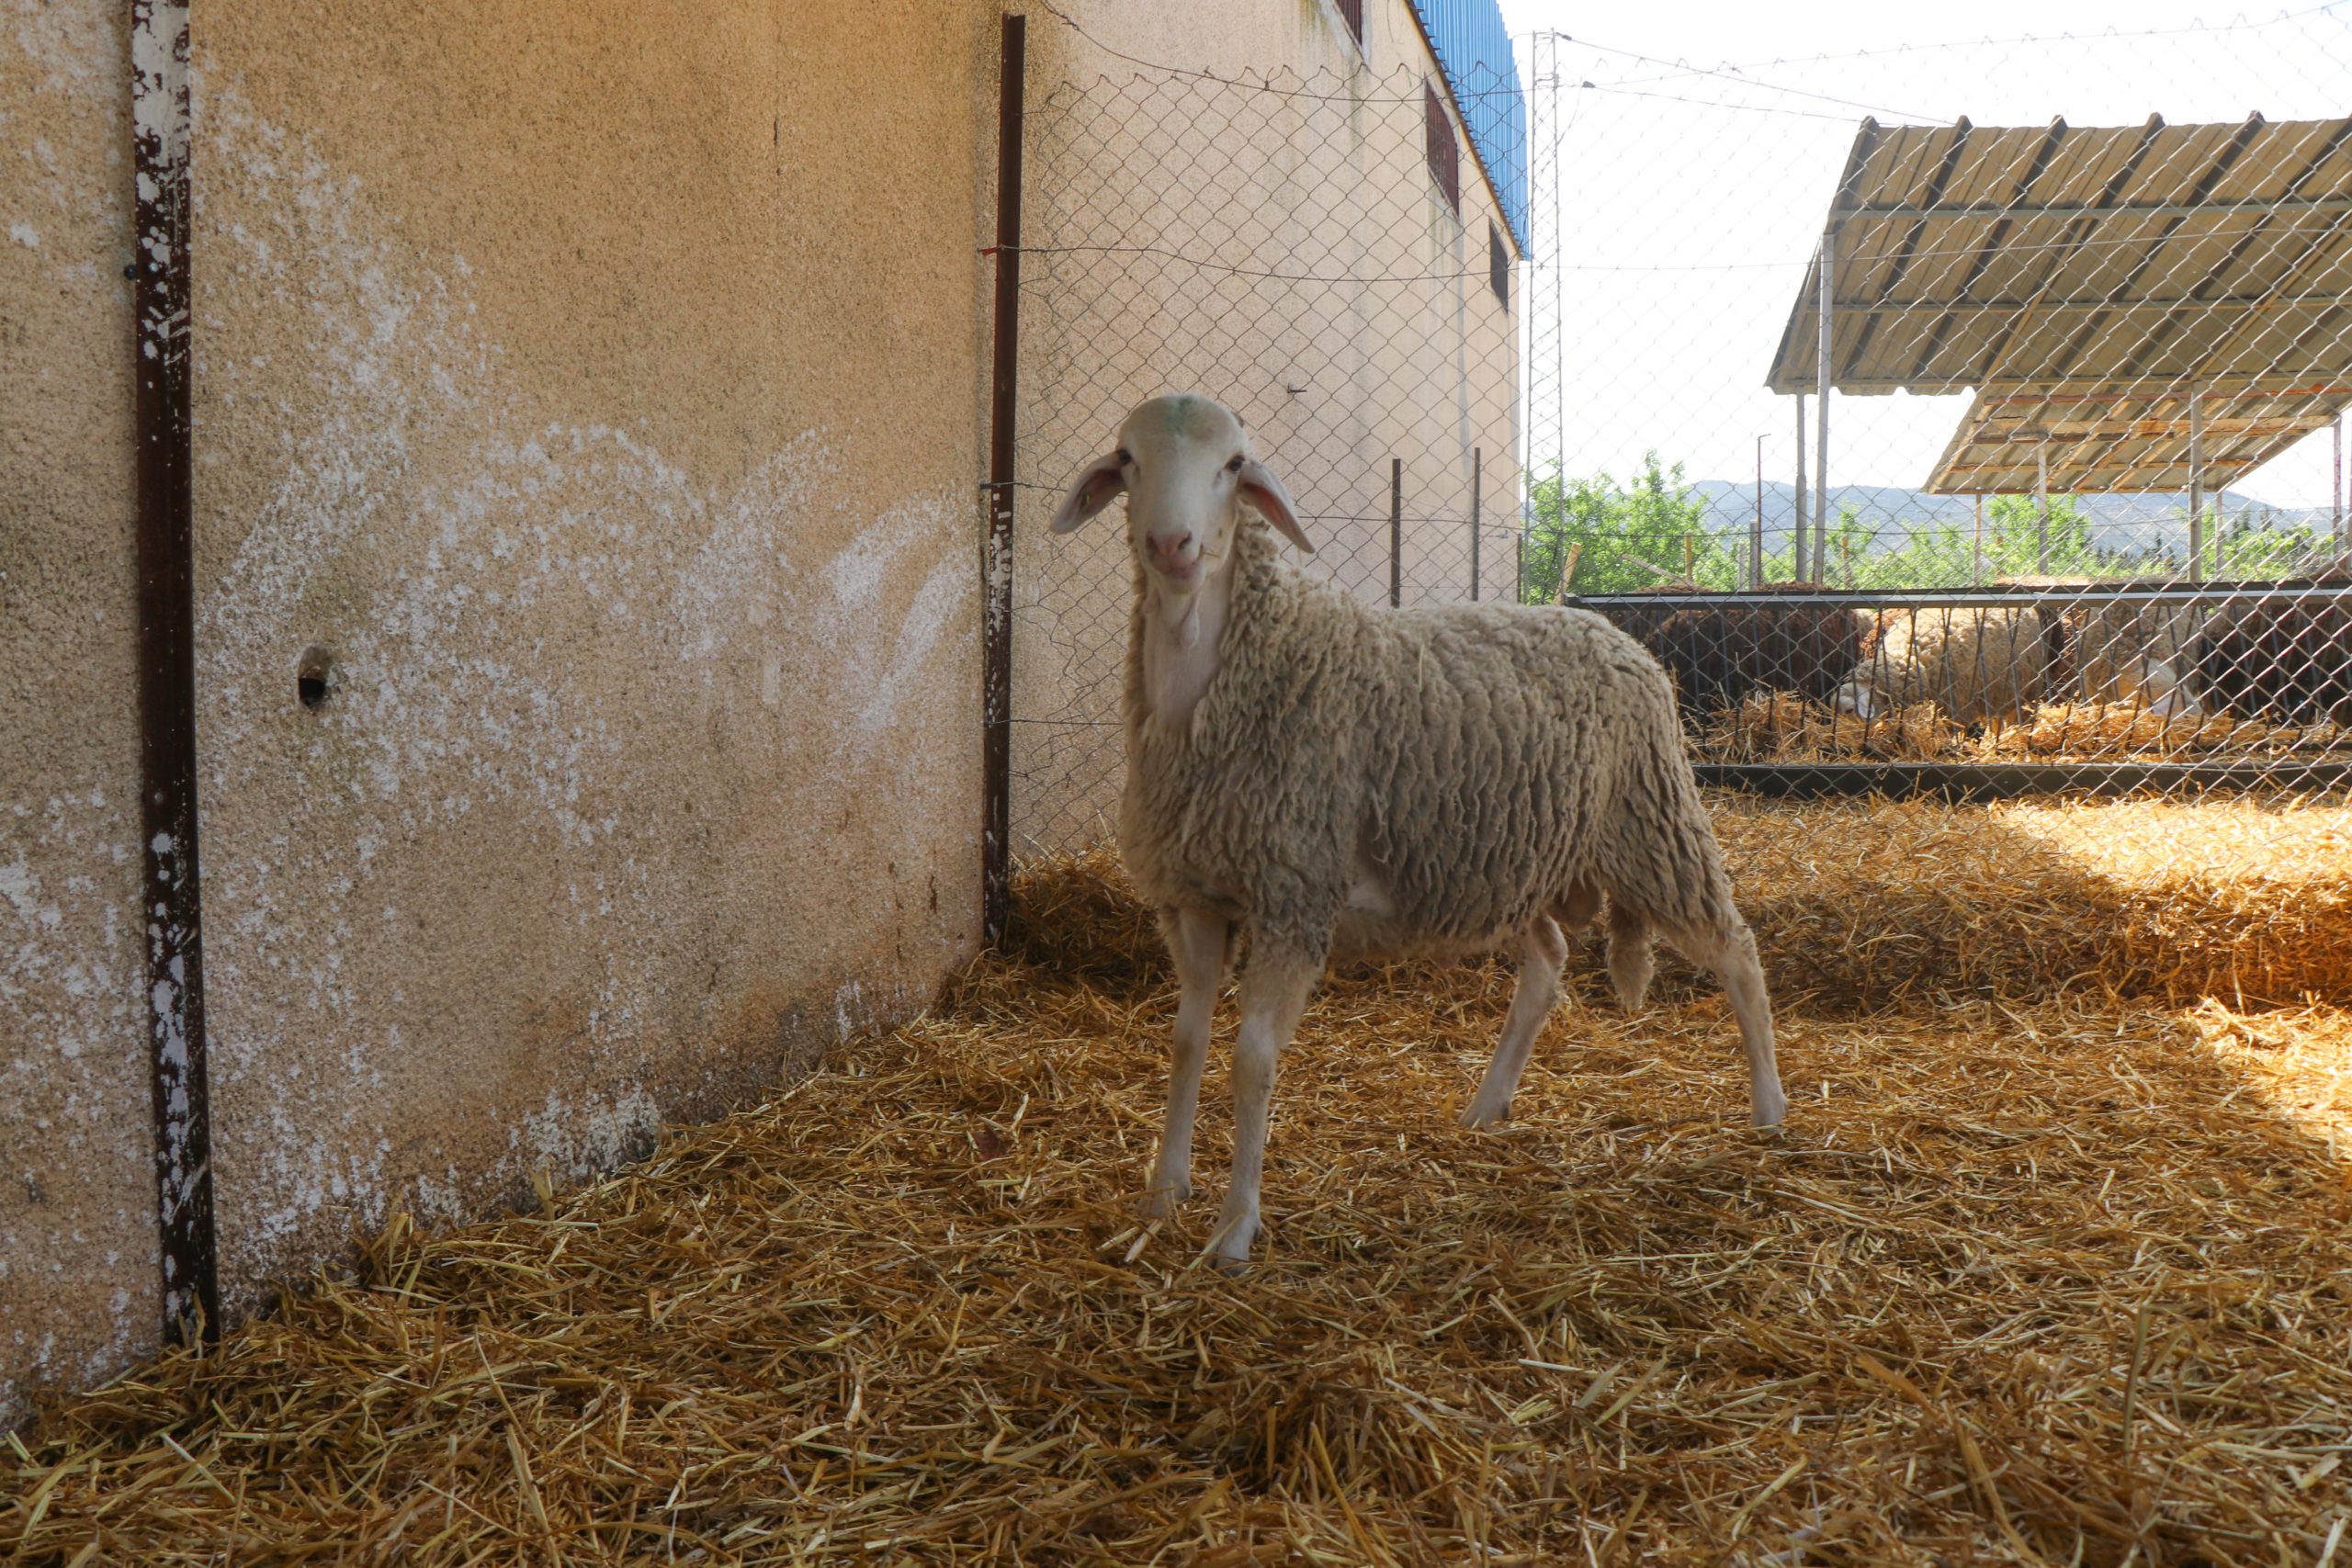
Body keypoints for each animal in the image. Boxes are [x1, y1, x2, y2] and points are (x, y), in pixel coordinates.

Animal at [1048, 392, 1787, 1271]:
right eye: (1128, 458)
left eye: (1233, 464)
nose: (1172, 546)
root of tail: (1614, 632)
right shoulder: (1194, 899)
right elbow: (1188, 1041)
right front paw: (1163, 1194)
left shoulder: (1294, 895)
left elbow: (1253, 1060)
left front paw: (1235, 1228)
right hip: (1506, 859)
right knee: (1548, 963)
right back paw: (1487, 1106)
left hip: (1652, 826)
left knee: (1737, 950)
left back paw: (1770, 1110)